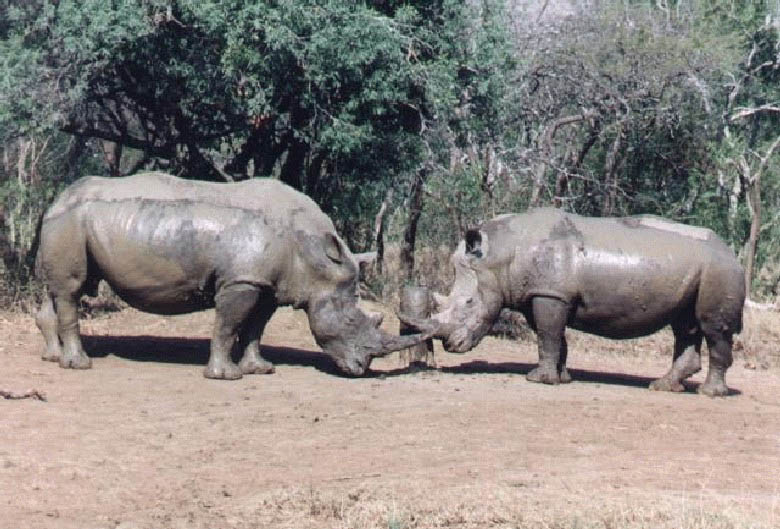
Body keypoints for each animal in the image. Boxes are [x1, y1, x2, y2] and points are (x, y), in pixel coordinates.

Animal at [35, 172, 427, 378]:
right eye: (349, 320)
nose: (360, 368)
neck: (313, 255)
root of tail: (55, 199)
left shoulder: (267, 284)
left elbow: (255, 328)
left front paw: (261, 369)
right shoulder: (241, 281)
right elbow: (227, 325)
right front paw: (226, 376)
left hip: (71, 221)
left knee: (57, 291)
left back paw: (53, 359)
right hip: (69, 222)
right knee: (70, 290)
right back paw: (79, 365)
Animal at [401, 208, 745, 397]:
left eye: (469, 303)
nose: (451, 346)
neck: (501, 253)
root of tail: (732, 251)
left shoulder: (550, 294)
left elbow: (547, 336)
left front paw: (538, 380)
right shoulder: (544, 294)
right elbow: (555, 338)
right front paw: (562, 378)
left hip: (719, 269)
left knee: (712, 328)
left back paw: (709, 394)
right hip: (701, 271)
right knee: (685, 327)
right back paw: (663, 387)